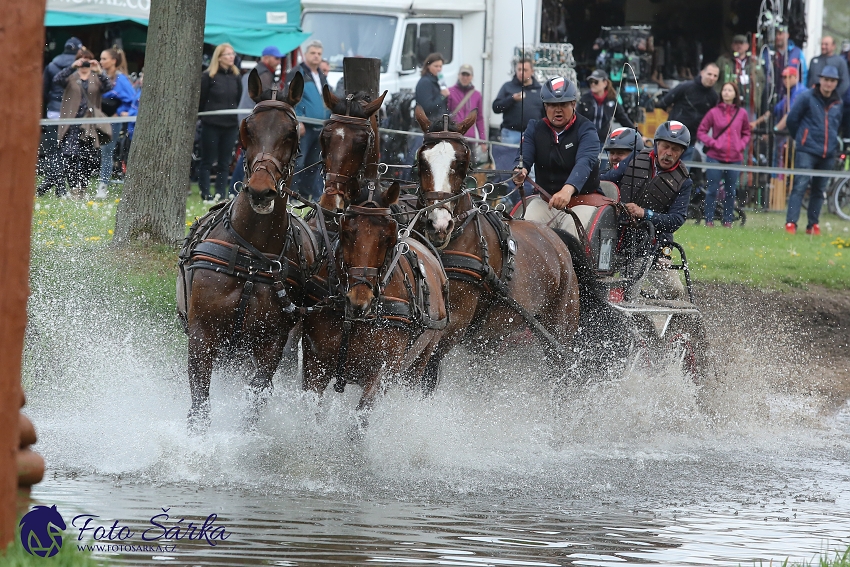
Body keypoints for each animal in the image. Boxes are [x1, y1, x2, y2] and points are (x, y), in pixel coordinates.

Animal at [176, 71, 318, 434]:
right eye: (247, 129)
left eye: (291, 132)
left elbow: (254, 401)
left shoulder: (271, 344)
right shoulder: (203, 335)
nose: (260, 191)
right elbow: (200, 405)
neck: (252, 259)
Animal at [298, 184, 448, 432]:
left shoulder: (380, 372)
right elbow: (311, 414)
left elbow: (359, 422)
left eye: (388, 237)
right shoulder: (315, 363)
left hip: (422, 357)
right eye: (346, 231)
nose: (359, 299)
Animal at [412, 106, 616, 392]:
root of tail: (555, 238)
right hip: (491, 338)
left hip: (558, 331)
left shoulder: (453, 323)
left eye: (462, 162)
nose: (438, 224)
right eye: (422, 161)